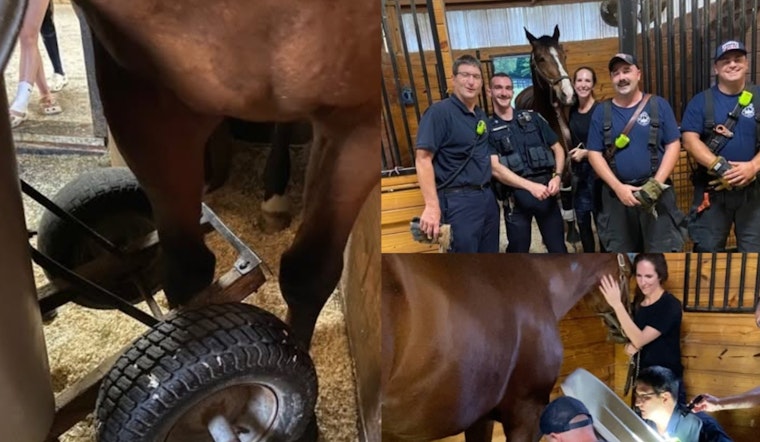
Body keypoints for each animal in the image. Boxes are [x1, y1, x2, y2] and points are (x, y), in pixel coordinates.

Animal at [514, 25, 579, 244]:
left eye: (563, 54)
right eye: (541, 58)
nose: (569, 94)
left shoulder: (566, 166)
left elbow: (567, 196)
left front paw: (572, 234)